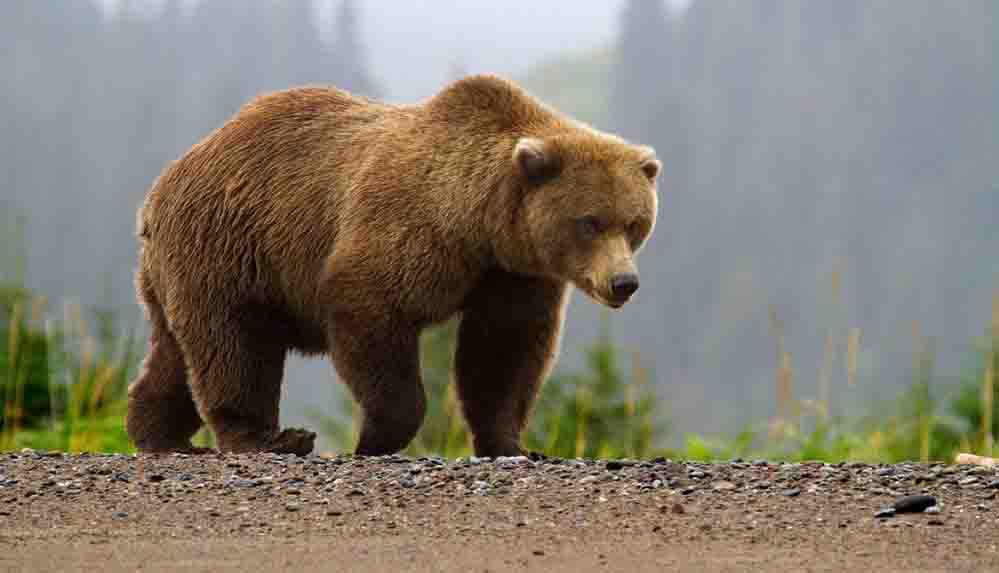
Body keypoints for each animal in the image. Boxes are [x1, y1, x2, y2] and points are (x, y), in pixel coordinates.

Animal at [127, 72, 664, 456]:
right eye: (590, 221)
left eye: (635, 223)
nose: (623, 282)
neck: (480, 223)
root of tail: (161, 187)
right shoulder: (409, 230)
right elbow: (371, 312)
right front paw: (375, 438)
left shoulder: (512, 273)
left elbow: (504, 351)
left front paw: (512, 444)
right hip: (230, 245)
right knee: (234, 343)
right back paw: (268, 438)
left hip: (184, 267)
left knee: (177, 352)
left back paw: (158, 433)